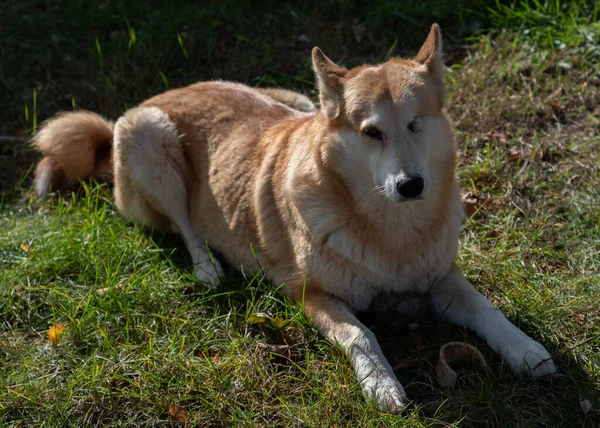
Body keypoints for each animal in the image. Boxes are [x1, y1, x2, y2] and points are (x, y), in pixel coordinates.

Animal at [30, 25, 556, 412]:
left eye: (415, 124)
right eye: (372, 132)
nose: (411, 185)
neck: (391, 233)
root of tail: (166, 91)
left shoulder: (443, 280)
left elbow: (489, 312)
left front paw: (526, 351)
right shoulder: (313, 296)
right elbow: (362, 335)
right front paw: (381, 385)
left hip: (298, 101)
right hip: (149, 140)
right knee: (185, 226)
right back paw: (208, 267)